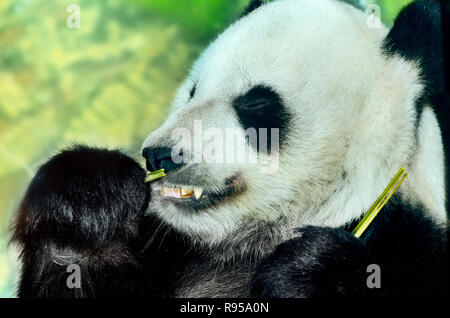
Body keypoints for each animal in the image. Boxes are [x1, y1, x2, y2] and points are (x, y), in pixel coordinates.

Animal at [12, 0, 448, 298]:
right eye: (193, 91)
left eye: (255, 105)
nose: (159, 155)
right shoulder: (169, 249)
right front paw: (89, 199)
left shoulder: (411, 239)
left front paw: (311, 273)